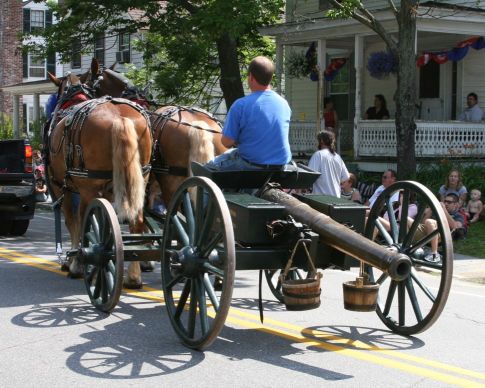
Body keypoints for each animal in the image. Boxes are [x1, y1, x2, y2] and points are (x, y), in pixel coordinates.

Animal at [46, 73, 151, 288]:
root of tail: (120, 118)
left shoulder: (61, 187)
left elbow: (73, 221)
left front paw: (72, 263)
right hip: (140, 181)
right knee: (137, 222)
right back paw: (133, 277)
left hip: (88, 189)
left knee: (86, 220)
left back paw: (86, 264)